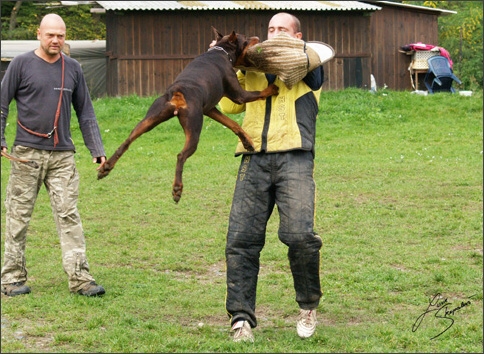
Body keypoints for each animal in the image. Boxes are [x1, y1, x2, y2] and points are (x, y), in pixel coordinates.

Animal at [97, 28, 280, 202]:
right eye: (246, 39)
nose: (257, 37)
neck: (221, 51)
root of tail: (179, 92)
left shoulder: (209, 109)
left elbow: (232, 123)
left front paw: (247, 142)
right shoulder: (238, 95)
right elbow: (257, 93)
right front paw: (271, 89)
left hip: (150, 118)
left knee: (126, 142)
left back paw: (106, 168)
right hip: (194, 128)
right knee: (181, 156)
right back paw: (177, 189)